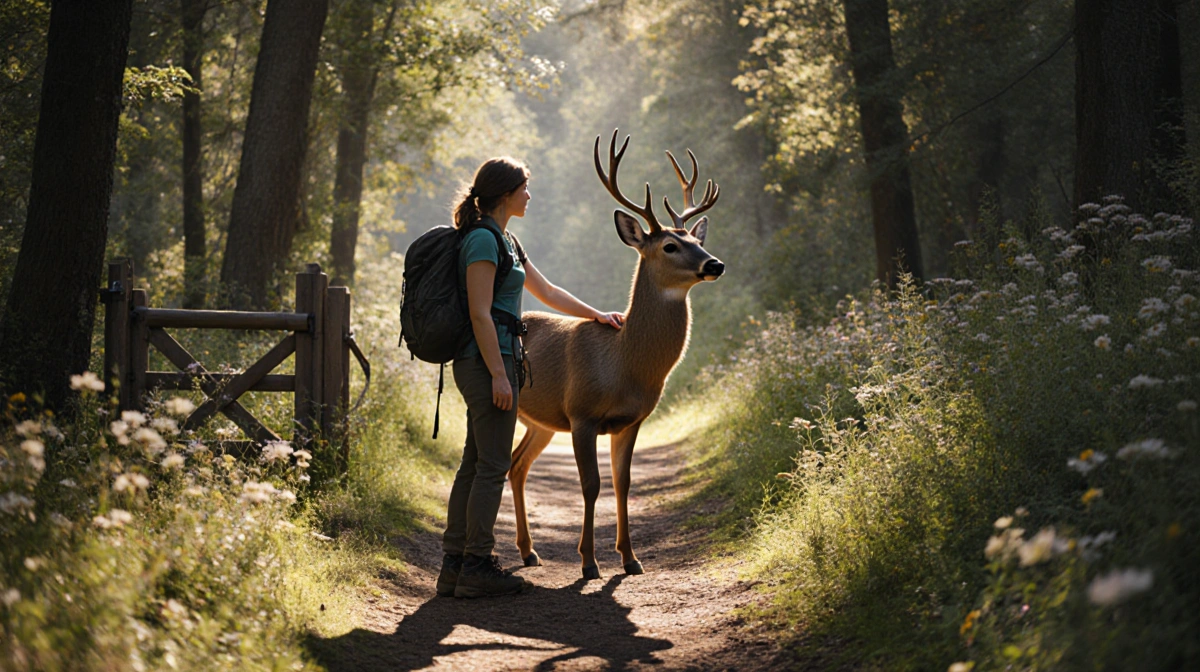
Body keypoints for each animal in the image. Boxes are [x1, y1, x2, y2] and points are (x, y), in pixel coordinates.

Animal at [510, 130, 724, 580]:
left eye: (698, 240)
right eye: (669, 245)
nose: (715, 263)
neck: (624, 365)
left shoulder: (631, 420)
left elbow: (622, 483)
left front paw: (630, 558)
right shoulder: (582, 414)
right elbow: (591, 486)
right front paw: (589, 562)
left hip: (541, 422)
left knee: (517, 465)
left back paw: (529, 551)